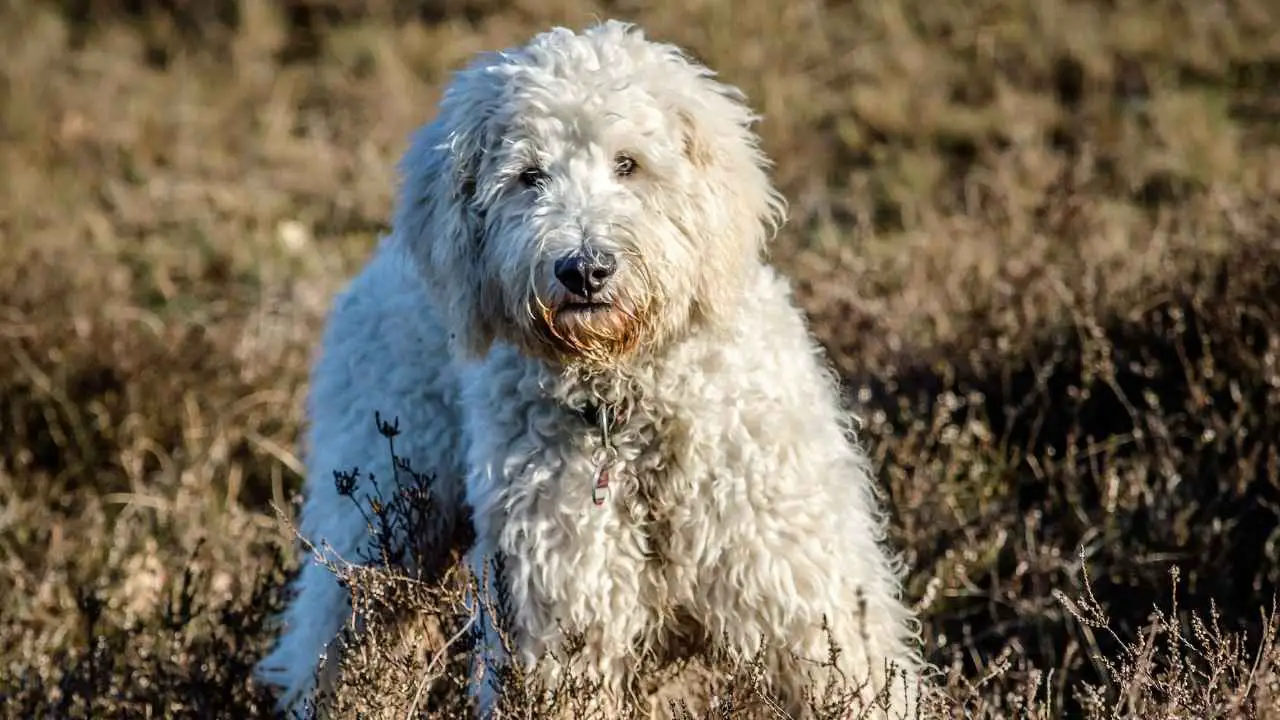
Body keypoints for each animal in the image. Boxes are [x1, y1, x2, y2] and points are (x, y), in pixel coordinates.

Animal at [257, 22, 921, 717]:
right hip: (378, 512)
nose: (584, 270)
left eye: (629, 163)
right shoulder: (564, 605)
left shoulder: (801, 590)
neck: (630, 403)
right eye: (528, 176)